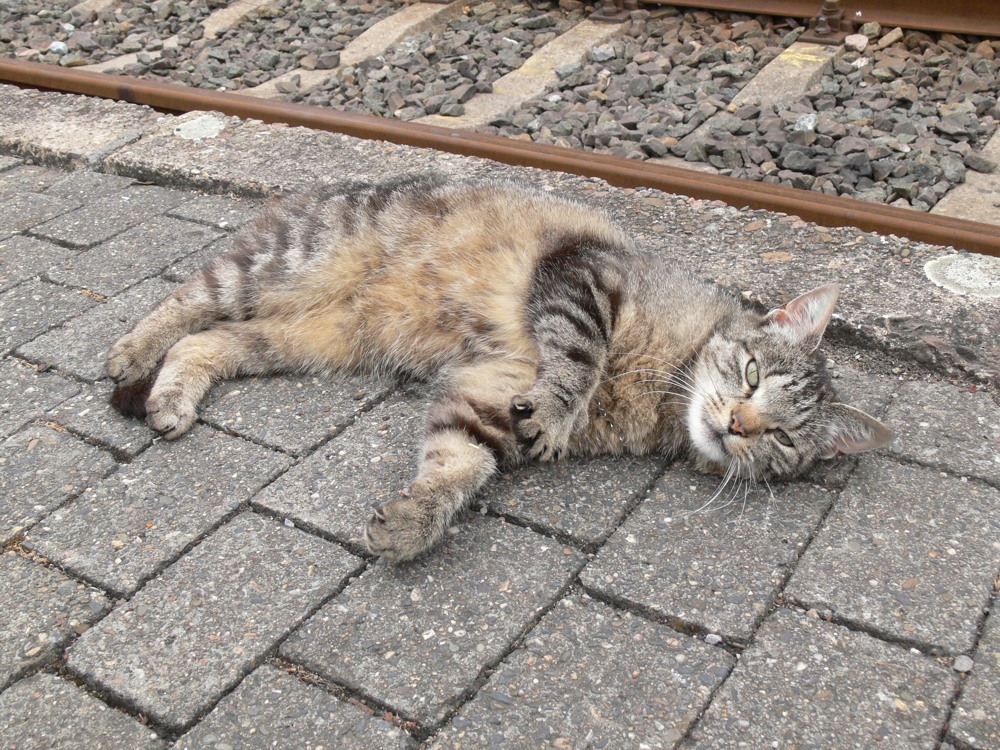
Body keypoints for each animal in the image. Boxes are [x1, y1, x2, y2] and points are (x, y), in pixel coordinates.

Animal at [107, 175, 892, 564]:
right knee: (186, 299)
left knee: (212, 343)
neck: (662, 384)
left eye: (782, 439)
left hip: (311, 337)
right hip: (279, 267)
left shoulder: (484, 405)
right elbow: (579, 352)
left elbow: (460, 467)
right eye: (752, 374)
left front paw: (415, 521)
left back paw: (171, 393)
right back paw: (133, 350)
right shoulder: (582, 274)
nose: (737, 424)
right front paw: (561, 402)